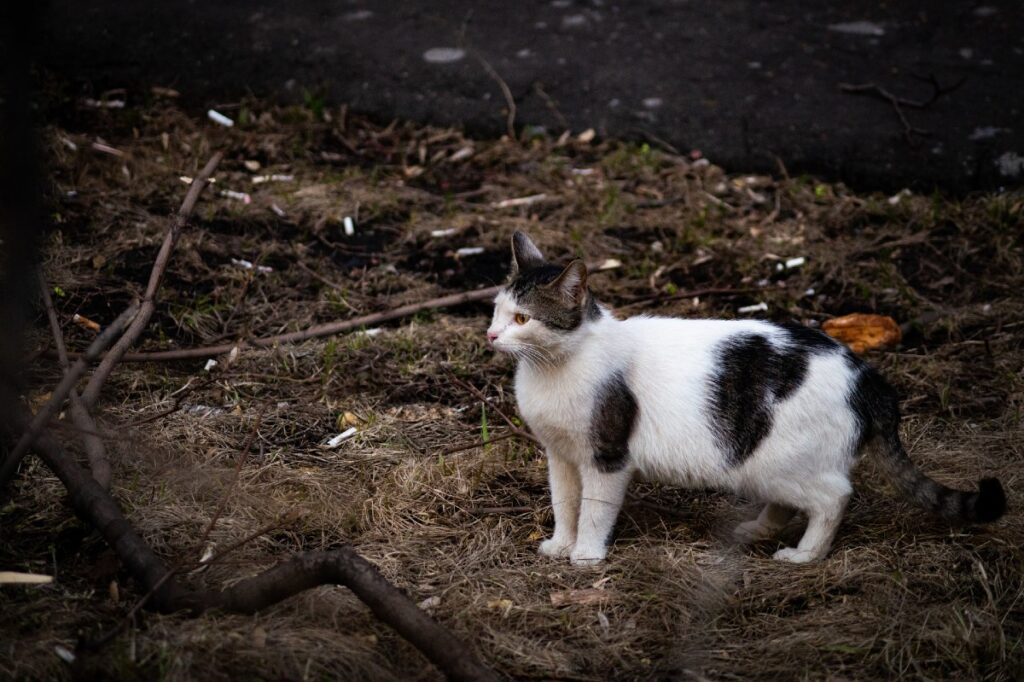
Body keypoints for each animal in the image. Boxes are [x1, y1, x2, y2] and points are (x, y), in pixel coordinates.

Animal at [487, 229, 1007, 561]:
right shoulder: (560, 455)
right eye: (495, 310)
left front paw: (586, 556)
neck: (554, 367)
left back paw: (804, 555)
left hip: (781, 461)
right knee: (791, 500)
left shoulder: (606, 455)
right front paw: (560, 545)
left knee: (835, 496)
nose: (490, 335)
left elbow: (595, 511)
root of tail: (866, 375)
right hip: (763, 464)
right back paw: (758, 529)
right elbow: (564, 504)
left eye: (523, 319)